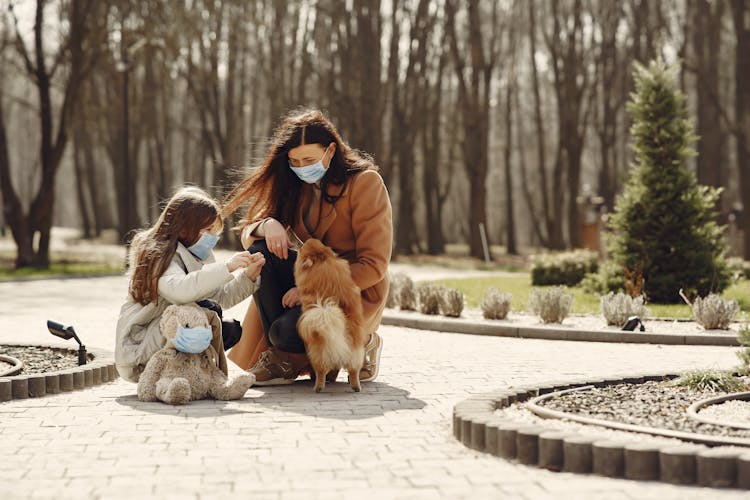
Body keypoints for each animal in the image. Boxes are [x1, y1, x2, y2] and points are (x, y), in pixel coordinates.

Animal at [296, 238, 368, 390]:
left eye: (302, 247)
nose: (300, 242)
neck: (323, 263)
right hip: (356, 354)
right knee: (354, 370)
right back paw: (356, 387)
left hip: (316, 354)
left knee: (321, 371)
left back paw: (318, 387)